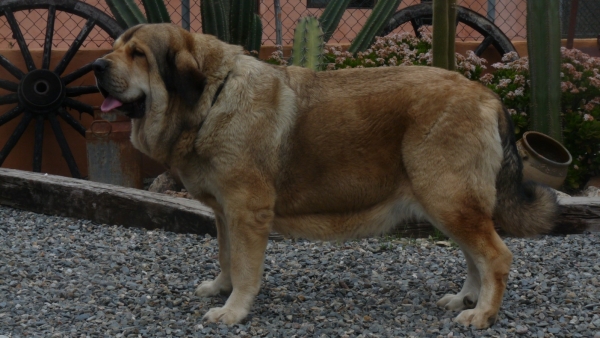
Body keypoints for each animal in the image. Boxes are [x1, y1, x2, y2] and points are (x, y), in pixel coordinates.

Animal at [94, 23, 556, 330]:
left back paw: (483, 314)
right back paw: (465, 298)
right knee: (474, 256)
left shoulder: (246, 212)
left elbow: (244, 266)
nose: (96, 65)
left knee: (495, 257)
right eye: (114, 48)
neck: (212, 97)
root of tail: (487, 96)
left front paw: (234, 309)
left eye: (137, 54)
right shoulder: (224, 213)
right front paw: (220, 288)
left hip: (448, 199)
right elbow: (225, 257)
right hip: (448, 205)